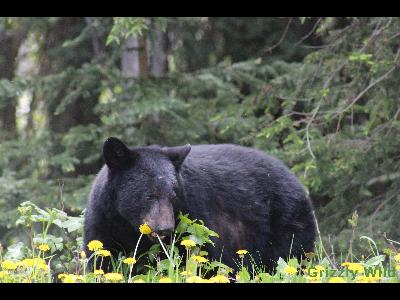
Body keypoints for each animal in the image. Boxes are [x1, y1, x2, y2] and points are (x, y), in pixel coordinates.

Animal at [83, 138, 316, 272]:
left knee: (289, 256)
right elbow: (101, 261)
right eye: (149, 195)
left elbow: (206, 259)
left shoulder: (195, 217)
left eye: (173, 195)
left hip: (285, 222)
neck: (129, 227)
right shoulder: (103, 221)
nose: (165, 229)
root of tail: (294, 178)